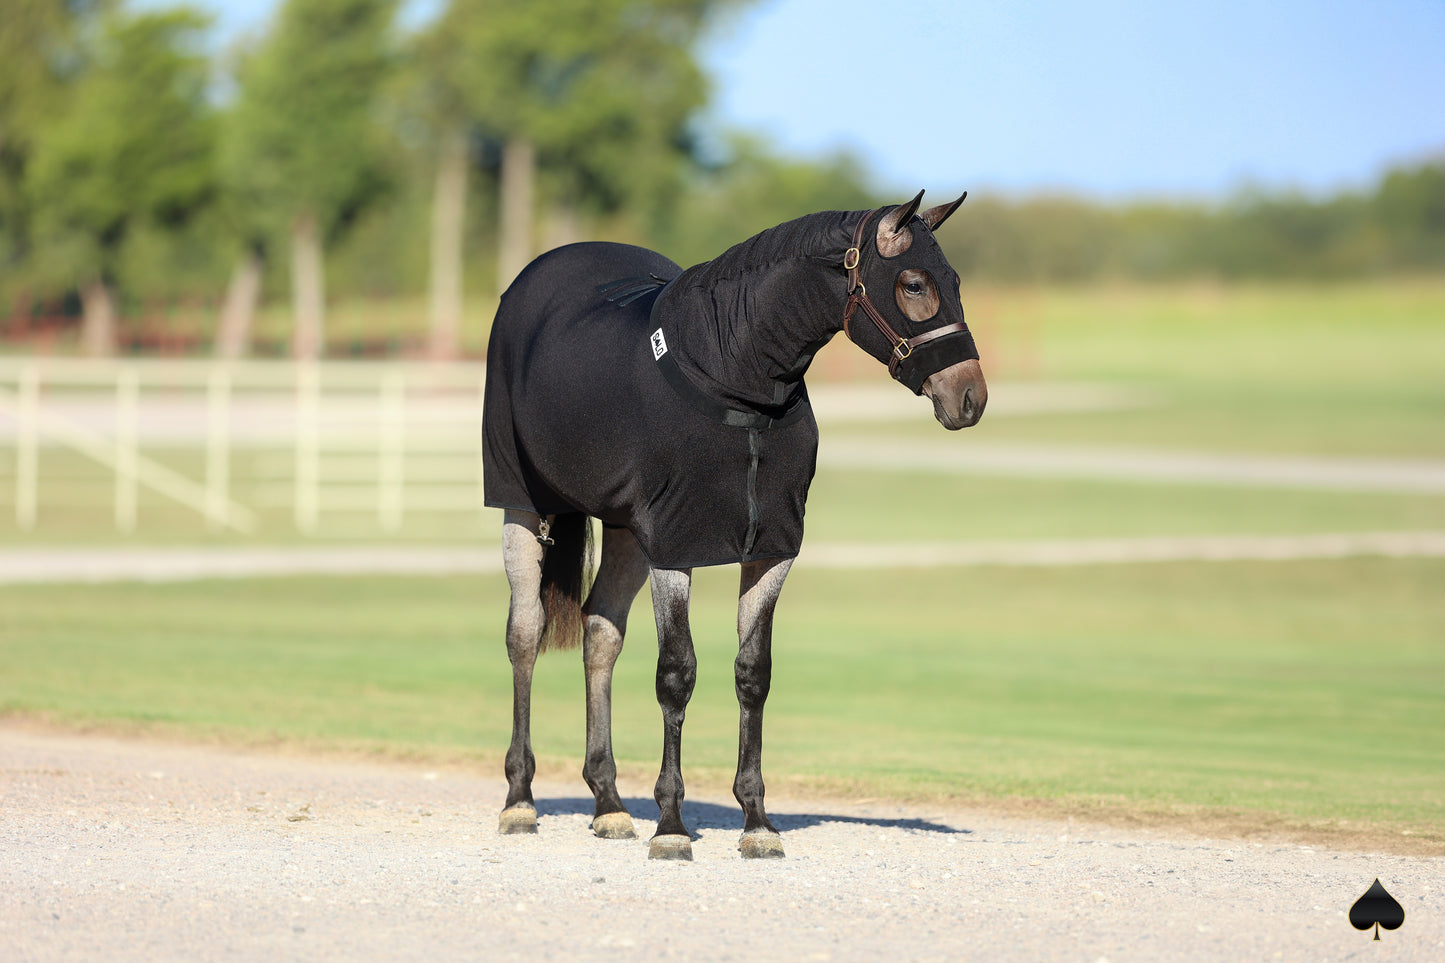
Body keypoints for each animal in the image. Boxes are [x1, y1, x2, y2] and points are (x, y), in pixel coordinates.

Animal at [479, 190, 988, 856]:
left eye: (954, 281)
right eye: (913, 284)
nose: (970, 397)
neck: (735, 381)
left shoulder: (770, 547)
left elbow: (753, 674)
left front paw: (756, 821)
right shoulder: (675, 543)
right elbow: (677, 674)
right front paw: (671, 826)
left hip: (625, 530)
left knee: (601, 634)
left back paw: (610, 803)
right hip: (521, 504)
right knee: (525, 634)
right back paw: (519, 800)